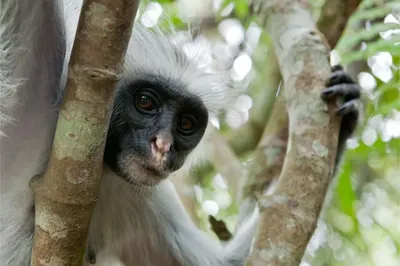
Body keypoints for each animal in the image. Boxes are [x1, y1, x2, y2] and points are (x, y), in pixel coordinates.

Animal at [0, 0, 360, 264]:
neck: (98, 169)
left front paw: (346, 113)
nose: (163, 145)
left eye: (186, 123)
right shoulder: (37, 101)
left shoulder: (132, 191)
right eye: (145, 102)